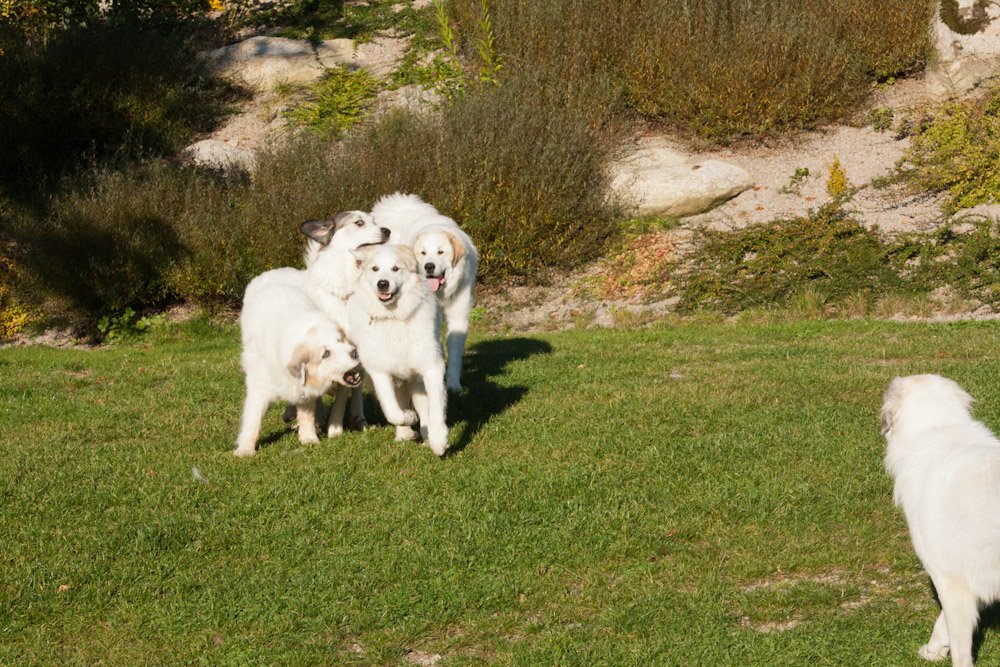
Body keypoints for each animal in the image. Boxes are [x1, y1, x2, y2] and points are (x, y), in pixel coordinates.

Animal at [234, 268, 364, 460]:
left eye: (340, 340)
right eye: (326, 353)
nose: (355, 352)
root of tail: (276, 270)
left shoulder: (305, 388)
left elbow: (307, 413)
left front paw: (309, 438)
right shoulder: (259, 385)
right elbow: (253, 419)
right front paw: (245, 449)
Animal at [298, 211, 388, 436]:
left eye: (375, 221)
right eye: (359, 222)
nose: (387, 230)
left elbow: (343, 391)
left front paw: (335, 427)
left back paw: (358, 418)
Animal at [348, 245, 450, 460]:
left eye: (395, 269)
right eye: (375, 269)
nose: (383, 284)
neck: (393, 317)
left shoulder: (431, 366)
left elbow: (436, 408)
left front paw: (438, 441)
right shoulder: (380, 373)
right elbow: (392, 411)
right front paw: (409, 419)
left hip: (415, 380)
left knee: (424, 406)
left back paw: (426, 436)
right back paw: (405, 433)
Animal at [370, 192, 478, 392]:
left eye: (441, 252)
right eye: (423, 253)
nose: (429, 266)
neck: (441, 293)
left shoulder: (458, 314)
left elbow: (454, 353)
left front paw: (453, 383)